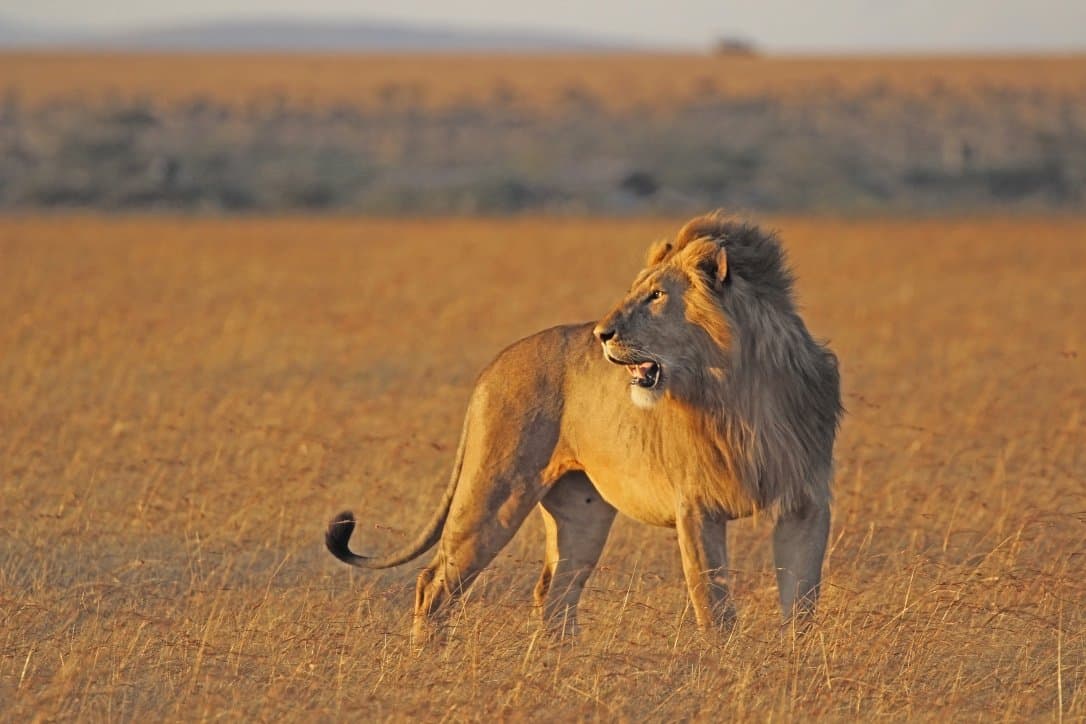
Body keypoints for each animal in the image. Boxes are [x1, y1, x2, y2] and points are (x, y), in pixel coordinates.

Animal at [326, 213, 842, 643]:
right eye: (637, 289)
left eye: (656, 295)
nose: (602, 334)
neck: (739, 391)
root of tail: (492, 367)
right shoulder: (697, 506)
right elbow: (713, 606)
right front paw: (723, 664)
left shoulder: (805, 501)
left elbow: (802, 601)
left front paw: (793, 661)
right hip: (495, 492)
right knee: (434, 581)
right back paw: (426, 660)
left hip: (582, 512)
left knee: (555, 597)